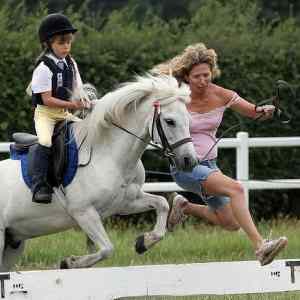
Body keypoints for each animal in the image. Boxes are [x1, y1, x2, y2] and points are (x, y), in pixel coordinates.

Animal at [0, 74, 198, 270]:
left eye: (189, 120)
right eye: (170, 121)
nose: (190, 161)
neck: (109, 155)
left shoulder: (125, 203)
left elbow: (162, 204)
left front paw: (144, 242)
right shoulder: (84, 212)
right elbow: (107, 249)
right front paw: (69, 263)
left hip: (13, 244)